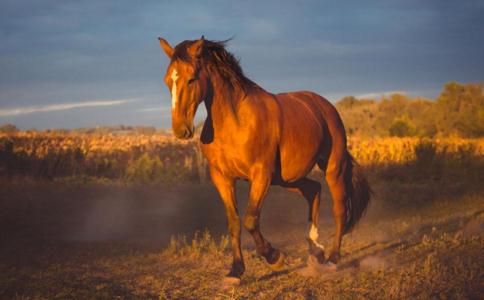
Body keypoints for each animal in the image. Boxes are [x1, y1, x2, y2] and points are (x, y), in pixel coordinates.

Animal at [158, 36, 370, 284]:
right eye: (167, 80)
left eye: (191, 78)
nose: (180, 130)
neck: (235, 121)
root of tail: (325, 107)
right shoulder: (222, 178)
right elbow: (234, 222)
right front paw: (235, 271)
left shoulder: (261, 175)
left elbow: (250, 219)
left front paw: (274, 257)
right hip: (287, 179)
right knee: (314, 190)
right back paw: (315, 248)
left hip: (332, 169)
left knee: (339, 209)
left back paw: (332, 258)